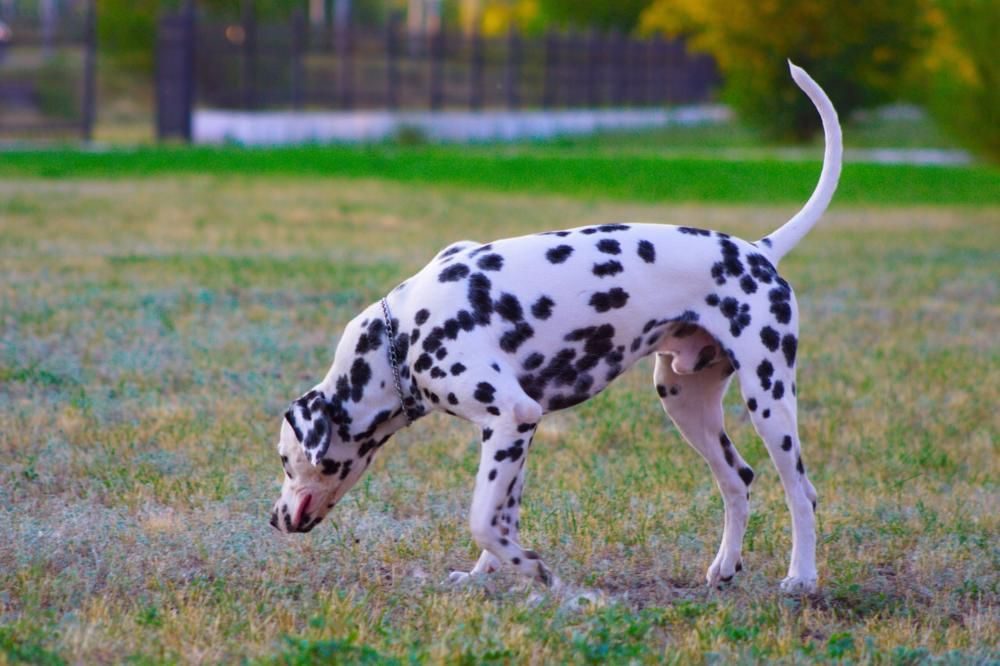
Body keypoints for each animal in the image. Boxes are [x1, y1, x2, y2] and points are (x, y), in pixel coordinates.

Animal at [270, 61, 840, 592]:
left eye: (283, 459)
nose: (273, 519)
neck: (401, 336)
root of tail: (759, 251)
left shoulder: (513, 416)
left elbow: (481, 520)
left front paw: (533, 569)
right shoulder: (510, 431)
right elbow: (501, 518)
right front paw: (485, 575)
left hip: (768, 399)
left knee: (802, 492)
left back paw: (802, 576)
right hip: (684, 400)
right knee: (738, 479)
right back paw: (725, 567)